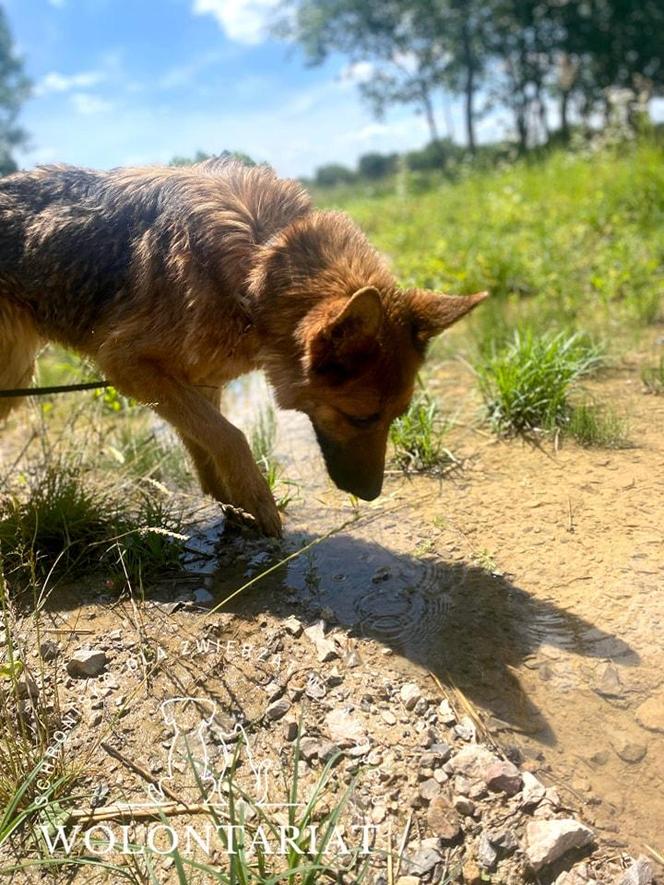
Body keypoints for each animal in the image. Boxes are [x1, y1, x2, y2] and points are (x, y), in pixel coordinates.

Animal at [0, 155, 488, 536]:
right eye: (362, 417)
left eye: (396, 417)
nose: (371, 495)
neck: (257, 264)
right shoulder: (127, 364)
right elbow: (229, 435)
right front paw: (258, 501)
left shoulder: (197, 382)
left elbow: (205, 443)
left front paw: (232, 507)